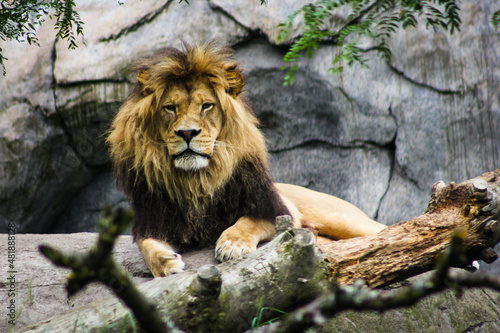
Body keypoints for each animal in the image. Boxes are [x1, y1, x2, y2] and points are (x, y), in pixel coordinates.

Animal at [107, 42, 384, 276]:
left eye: (206, 106)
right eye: (170, 108)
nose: (187, 133)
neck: (197, 180)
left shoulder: (275, 210)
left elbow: (247, 222)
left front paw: (232, 245)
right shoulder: (154, 220)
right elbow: (148, 245)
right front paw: (165, 263)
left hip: (343, 220)